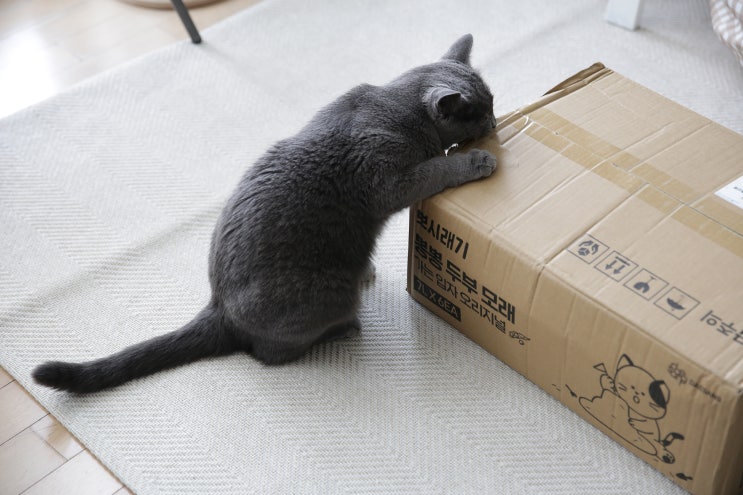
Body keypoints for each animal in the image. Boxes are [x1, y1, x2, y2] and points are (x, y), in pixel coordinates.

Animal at [32, 34, 498, 393]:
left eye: (494, 102)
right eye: (479, 112)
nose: (494, 123)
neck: (394, 106)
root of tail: (219, 308)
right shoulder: (389, 180)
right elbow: (438, 168)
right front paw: (476, 161)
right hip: (328, 290)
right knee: (269, 354)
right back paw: (344, 326)